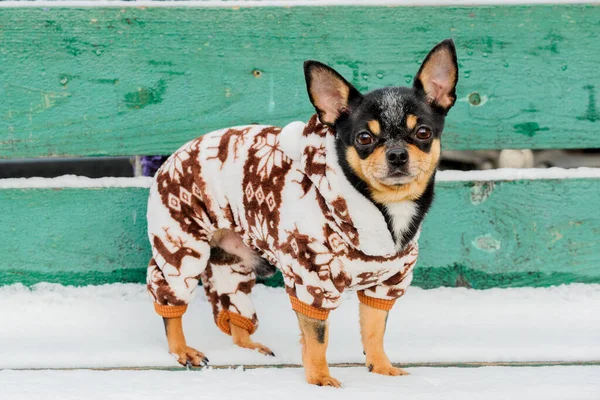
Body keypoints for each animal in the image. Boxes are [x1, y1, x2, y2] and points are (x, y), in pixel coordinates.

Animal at [148, 39, 458, 386]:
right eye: (364, 138)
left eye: (423, 133)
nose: (397, 154)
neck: (385, 209)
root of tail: (173, 156)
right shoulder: (312, 280)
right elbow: (317, 338)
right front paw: (320, 378)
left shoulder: (387, 283)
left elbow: (375, 330)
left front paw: (381, 368)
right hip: (183, 249)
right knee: (169, 299)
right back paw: (181, 350)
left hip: (233, 262)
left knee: (231, 303)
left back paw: (248, 346)